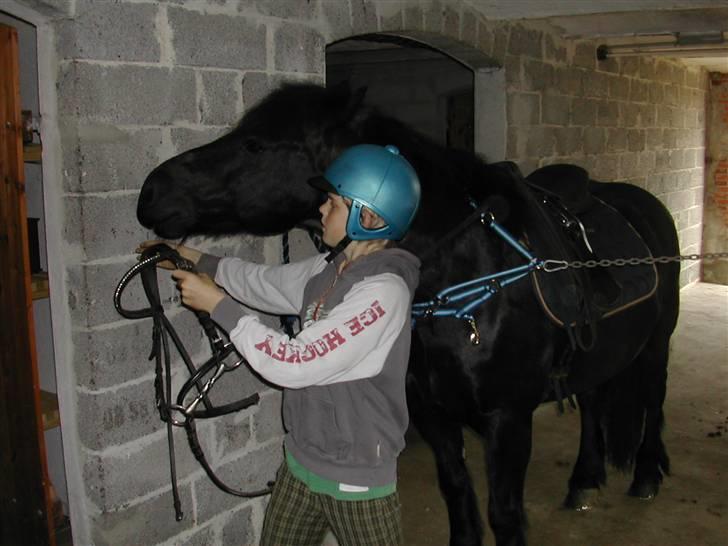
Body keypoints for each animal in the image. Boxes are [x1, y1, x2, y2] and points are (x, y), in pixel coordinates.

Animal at [138, 82, 684, 544]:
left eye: (255, 144)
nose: (151, 192)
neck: (466, 278)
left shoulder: (508, 420)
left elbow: (504, 514)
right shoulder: (430, 413)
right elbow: (457, 493)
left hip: (657, 345)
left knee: (654, 400)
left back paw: (646, 475)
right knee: (593, 403)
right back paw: (585, 480)